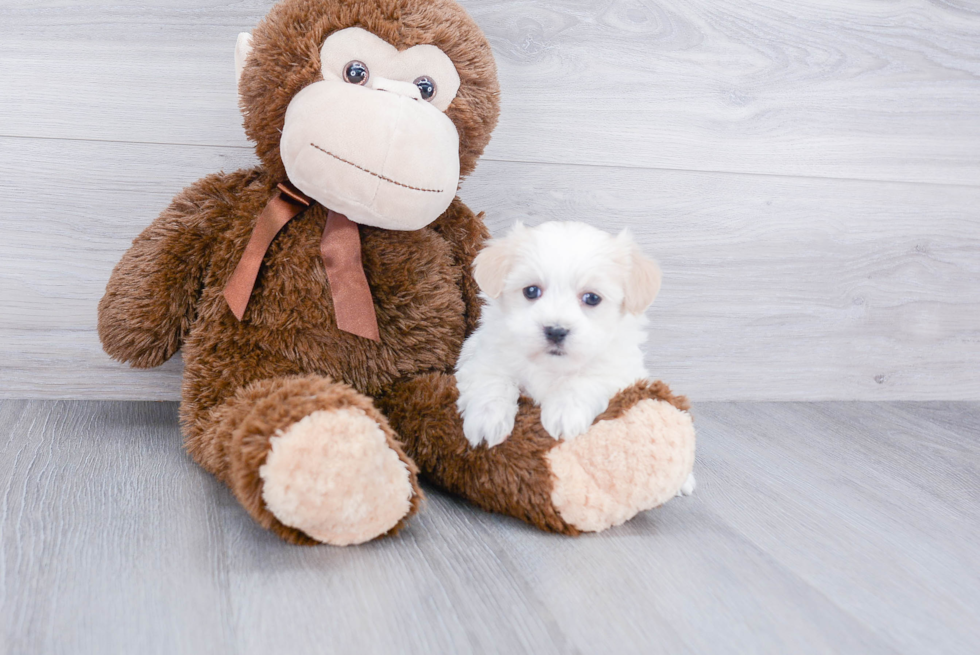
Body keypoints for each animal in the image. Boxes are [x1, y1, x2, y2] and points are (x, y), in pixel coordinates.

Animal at [456, 220, 664, 446]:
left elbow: (585, 379)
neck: (551, 365)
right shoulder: (484, 359)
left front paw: (565, 413)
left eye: (592, 298)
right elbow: (492, 381)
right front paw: (487, 420)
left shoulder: (621, 371)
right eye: (531, 291)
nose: (556, 331)